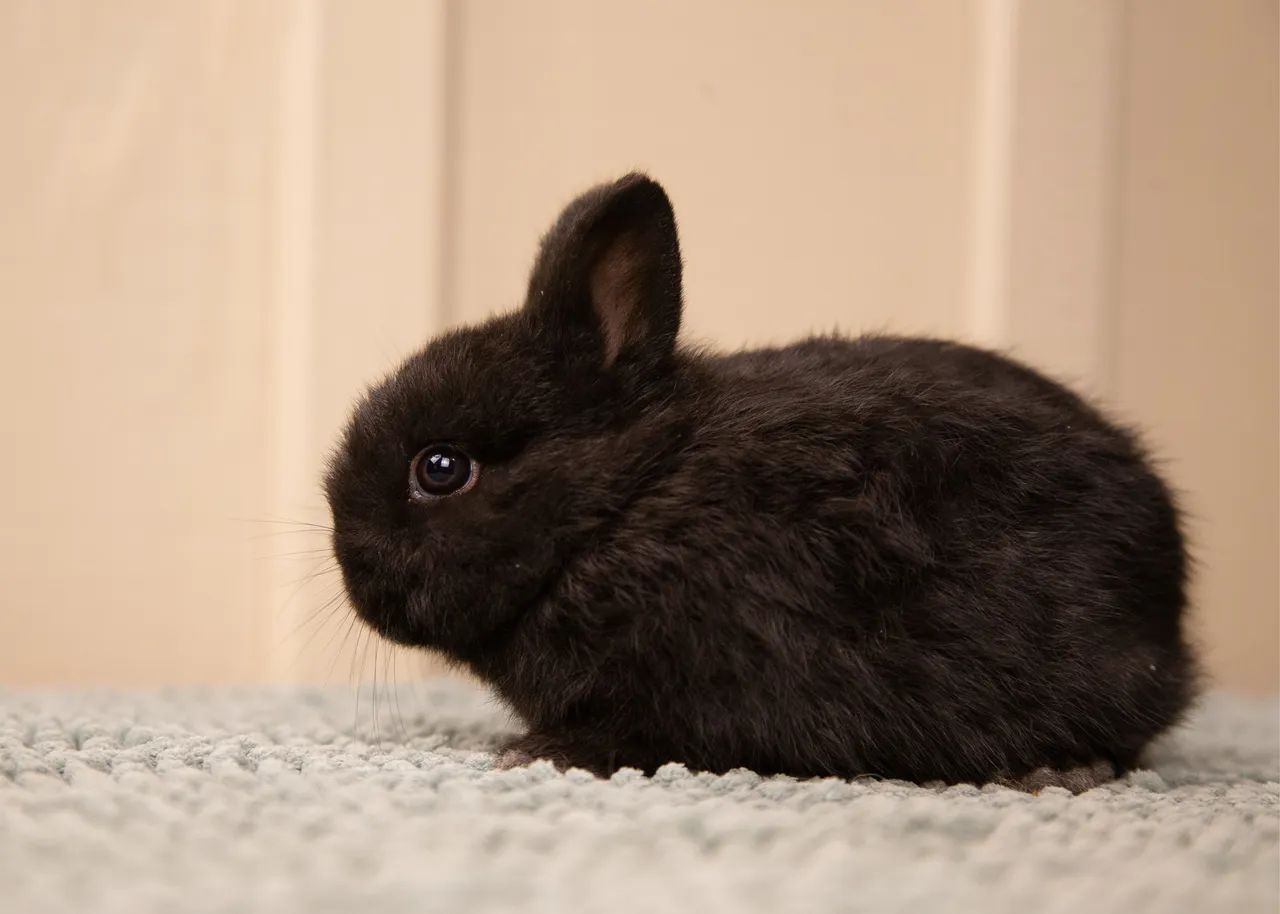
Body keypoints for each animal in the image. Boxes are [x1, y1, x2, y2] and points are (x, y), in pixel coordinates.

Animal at [325, 173, 1196, 792]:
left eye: (440, 469)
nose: (354, 572)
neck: (624, 500)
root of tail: (1172, 616)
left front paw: (541, 753)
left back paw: (1056, 770)